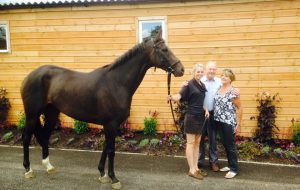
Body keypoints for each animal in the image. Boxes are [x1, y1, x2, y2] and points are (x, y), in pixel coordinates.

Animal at [20, 31, 183, 189]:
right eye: (164, 49)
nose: (181, 69)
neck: (117, 82)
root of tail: (29, 76)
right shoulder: (111, 123)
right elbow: (111, 150)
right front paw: (113, 178)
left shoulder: (110, 124)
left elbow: (105, 146)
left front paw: (102, 174)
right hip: (32, 115)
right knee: (26, 137)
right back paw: (28, 170)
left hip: (51, 113)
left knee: (45, 135)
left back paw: (48, 166)